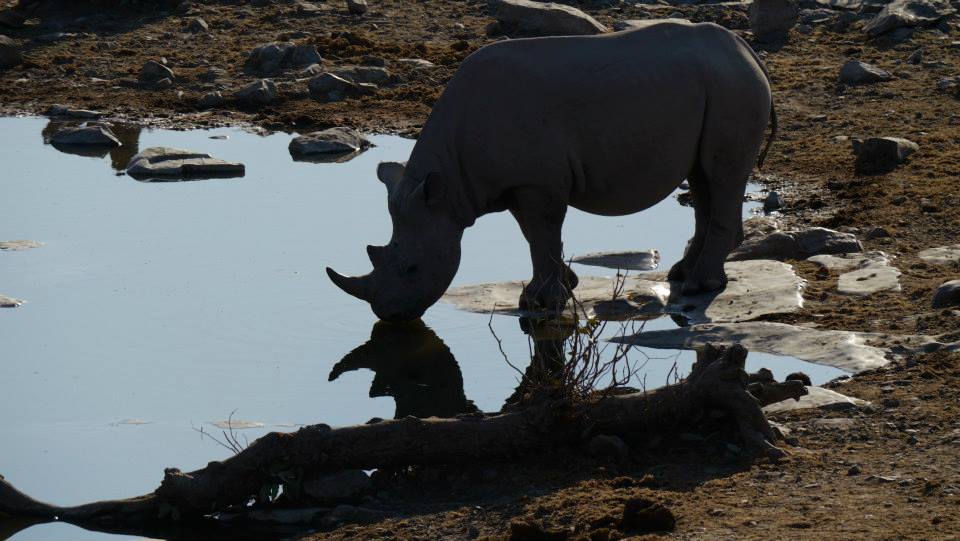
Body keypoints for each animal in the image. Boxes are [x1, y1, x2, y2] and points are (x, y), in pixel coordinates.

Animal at [326, 21, 776, 320]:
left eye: (413, 270)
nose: (388, 315)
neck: (449, 187)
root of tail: (747, 52)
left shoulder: (536, 182)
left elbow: (542, 233)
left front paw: (541, 304)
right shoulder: (515, 182)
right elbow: (534, 236)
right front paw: (558, 288)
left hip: (731, 87)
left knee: (720, 176)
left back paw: (701, 285)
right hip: (717, 86)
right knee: (703, 180)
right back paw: (683, 275)